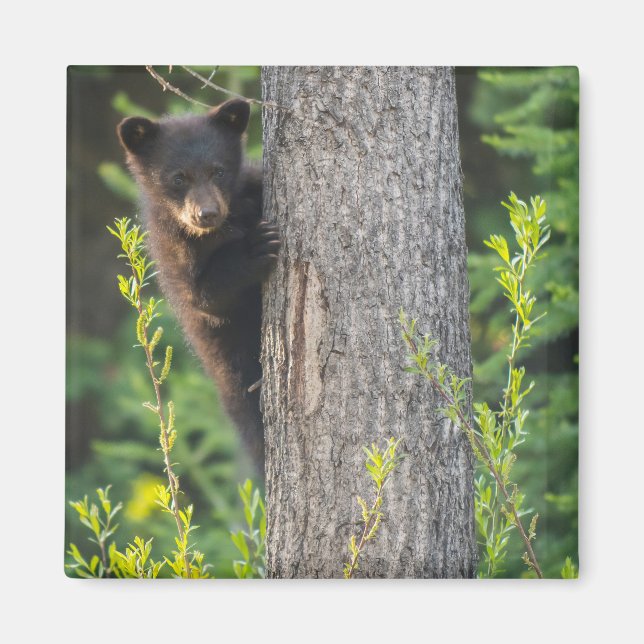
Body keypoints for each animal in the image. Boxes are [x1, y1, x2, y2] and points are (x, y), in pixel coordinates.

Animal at [117, 99, 279, 471]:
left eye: (218, 171)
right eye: (178, 178)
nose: (207, 213)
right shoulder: (173, 254)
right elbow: (206, 297)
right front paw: (257, 245)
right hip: (228, 366)